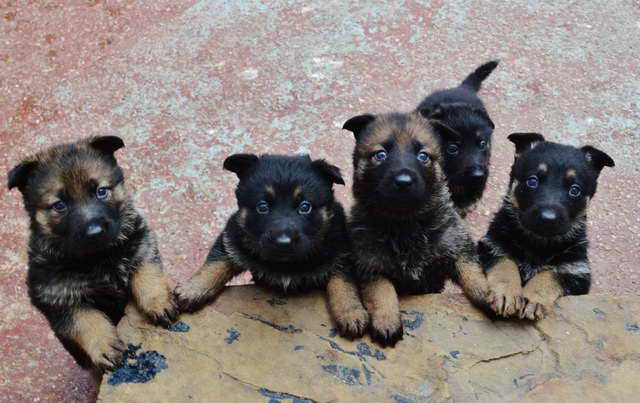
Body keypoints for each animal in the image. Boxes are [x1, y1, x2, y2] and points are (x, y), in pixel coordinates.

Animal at [7, 137, 178, 376]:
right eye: (60, 205)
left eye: (101, 191)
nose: (94, 232)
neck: (98, 257)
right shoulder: (57, 299)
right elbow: (85, 320)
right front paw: (104, 345)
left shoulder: (141, 242)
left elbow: (147, 273)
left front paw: (159, 302)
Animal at [175, 153, 368, 340]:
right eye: (262, 207)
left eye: (305, 207)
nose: (283, 242)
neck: (285, 263)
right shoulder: (232, 238)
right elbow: (215, 264)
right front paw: (192, 289)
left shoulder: (341, 250)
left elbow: (343, 283)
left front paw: (351, 313)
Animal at [480, 133, 616, 322]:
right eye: (532, 181)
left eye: (575, 190)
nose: (548, 219)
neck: (538, 243)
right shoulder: (492, 244)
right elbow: (506, 263)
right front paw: (507, 293)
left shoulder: (576, 271)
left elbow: (549, 274)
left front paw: (533, 299)